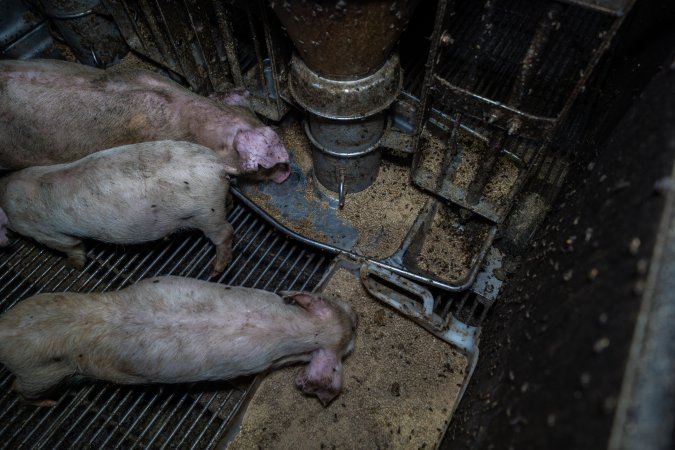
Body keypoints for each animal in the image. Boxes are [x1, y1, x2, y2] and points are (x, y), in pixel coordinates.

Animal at [0, 141, 235, 276]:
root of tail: (217, 164)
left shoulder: (44, 233)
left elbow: (72, 246)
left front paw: (71, 266)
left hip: (206, 212)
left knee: (226, 232)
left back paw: (215, 271)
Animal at [0, 276, 360, 406]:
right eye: (351, 342)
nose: (357, 317)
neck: (302, 329)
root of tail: (6, 331)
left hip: (39, 301)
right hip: (39, 373)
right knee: (20, 390)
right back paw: (49, 404)